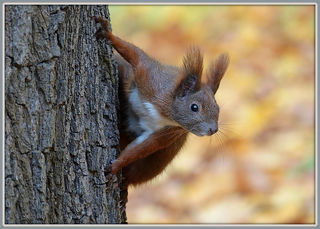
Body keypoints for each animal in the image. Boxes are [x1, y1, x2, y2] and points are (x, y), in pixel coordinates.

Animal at [94, 16, 229, 202]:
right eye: (194, 107)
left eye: (217, 107)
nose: (213, 130)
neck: (164, 113)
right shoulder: (151, 78)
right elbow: (136, 56)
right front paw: (108, 34)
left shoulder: (168, 133)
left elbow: (143, 148)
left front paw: (115, 166)